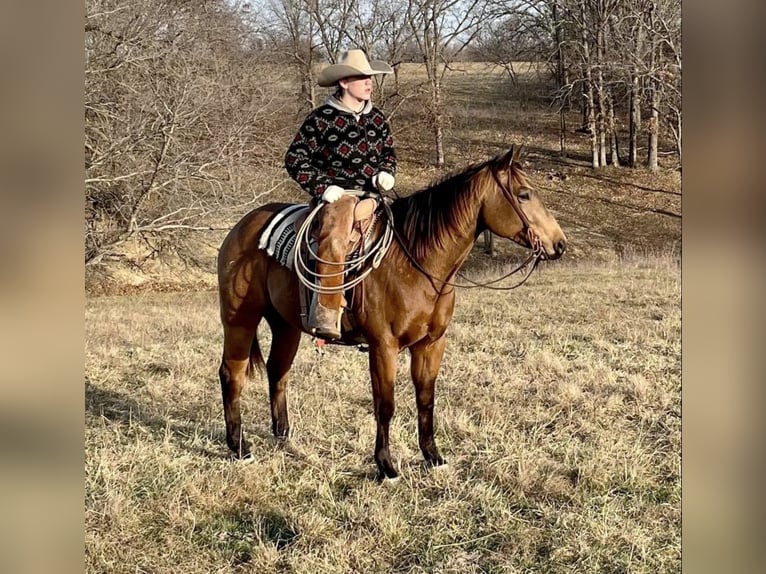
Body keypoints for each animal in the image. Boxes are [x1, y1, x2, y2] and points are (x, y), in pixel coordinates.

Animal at [214, 145, 564, 482]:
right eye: (524, 194)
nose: (559, 244)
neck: (417, 263)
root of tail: (241, 226)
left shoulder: (431, 344)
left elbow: (426, 399)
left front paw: (433, 457)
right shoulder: (384, 346)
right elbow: (385, 405)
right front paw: (386, 466)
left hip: (287, 325)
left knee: (278, 371)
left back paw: (283, 436)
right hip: (240, 319)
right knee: (232, 373)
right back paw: (240, 447)